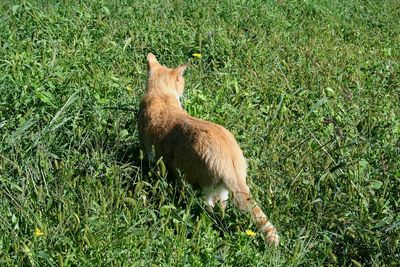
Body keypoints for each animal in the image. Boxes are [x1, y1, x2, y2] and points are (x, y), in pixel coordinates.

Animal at [138, 52, 278, 247]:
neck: (160, 95)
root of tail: (230, 161)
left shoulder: (149, 153)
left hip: (198, 184)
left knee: (208, 208)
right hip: (222, 190)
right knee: (222, 209)